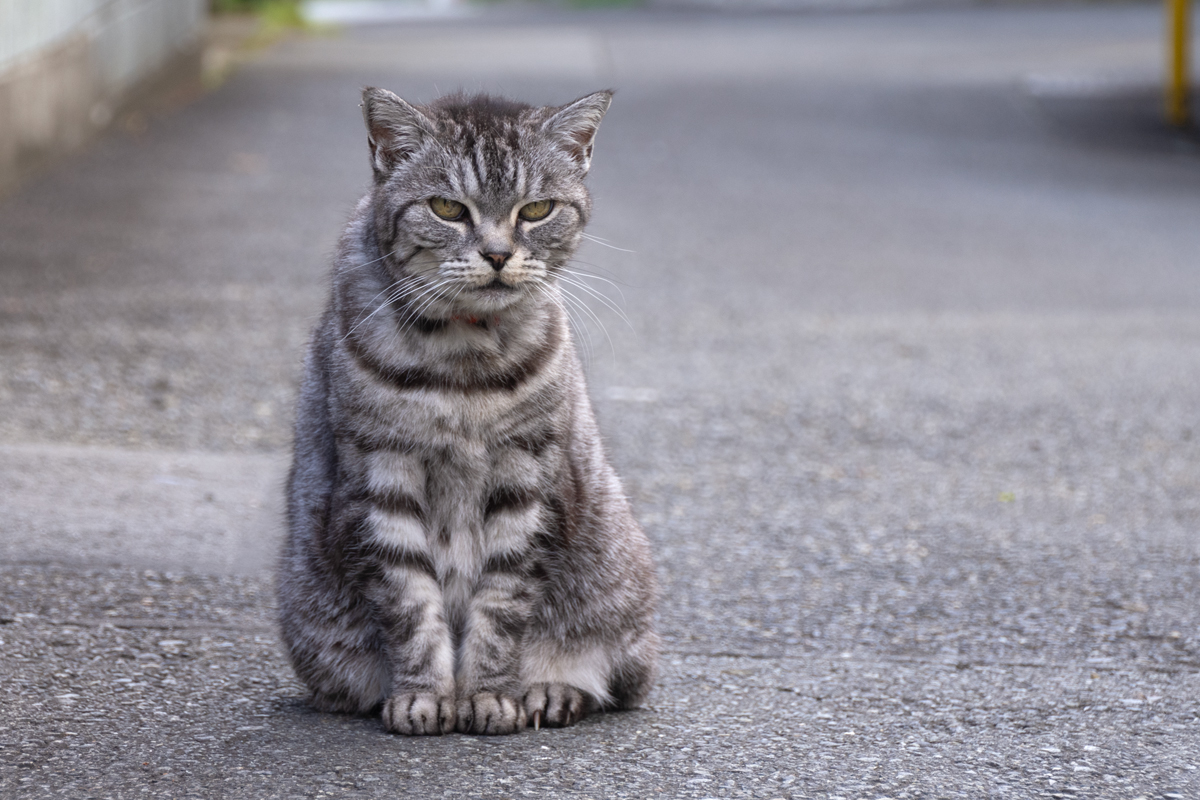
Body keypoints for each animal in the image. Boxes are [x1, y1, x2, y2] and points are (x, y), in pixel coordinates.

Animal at [277, 89, 662, 738]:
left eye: (537, 210)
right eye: (447, 208)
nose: (498, 254)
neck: (465, 358)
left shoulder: (527, 478)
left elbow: (501, 606)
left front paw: (487, 695)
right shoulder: (382, 474)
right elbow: (410, 603)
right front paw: (426, 695)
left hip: (619, 590)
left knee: (613, 678)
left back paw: (549, 690)